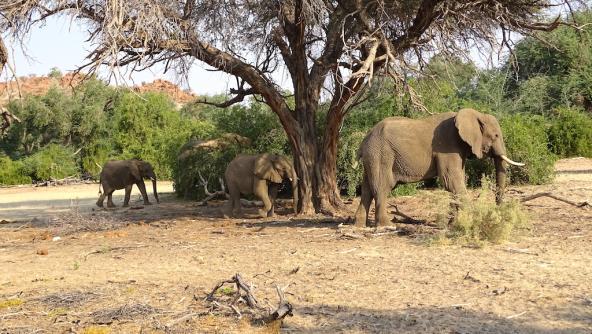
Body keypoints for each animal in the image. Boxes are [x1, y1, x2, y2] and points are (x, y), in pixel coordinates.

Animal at [354, 108, 524, 228]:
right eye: (496, 136)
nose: (498, 213)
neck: (474, 114)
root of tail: (364, 140)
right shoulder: (448, 146)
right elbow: (452, 180)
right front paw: (474, 220)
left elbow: (455, 183)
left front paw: (453, 224)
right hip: (381, 154)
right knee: (382, 187)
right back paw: (387, 225)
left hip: (372, 156)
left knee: (367, 189)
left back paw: (359, 225)